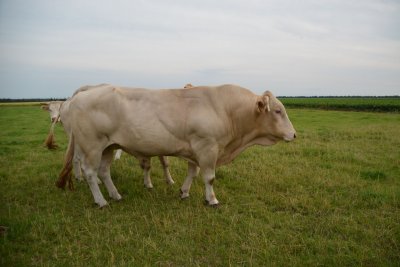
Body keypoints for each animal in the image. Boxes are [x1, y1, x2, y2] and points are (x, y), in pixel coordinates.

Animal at [56, 84, 296, 207]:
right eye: (277, 111)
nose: (294, 134)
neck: (225, 109)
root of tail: (81, 95)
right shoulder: (207, 147)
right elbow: (209, 177)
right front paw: (212, 199)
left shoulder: (196, 150)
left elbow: (192, 172)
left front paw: (184, 192)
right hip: (92, 146)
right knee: (89, 172)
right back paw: (101, 201)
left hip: (109, 146)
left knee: (104, 172)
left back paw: (115, 195)